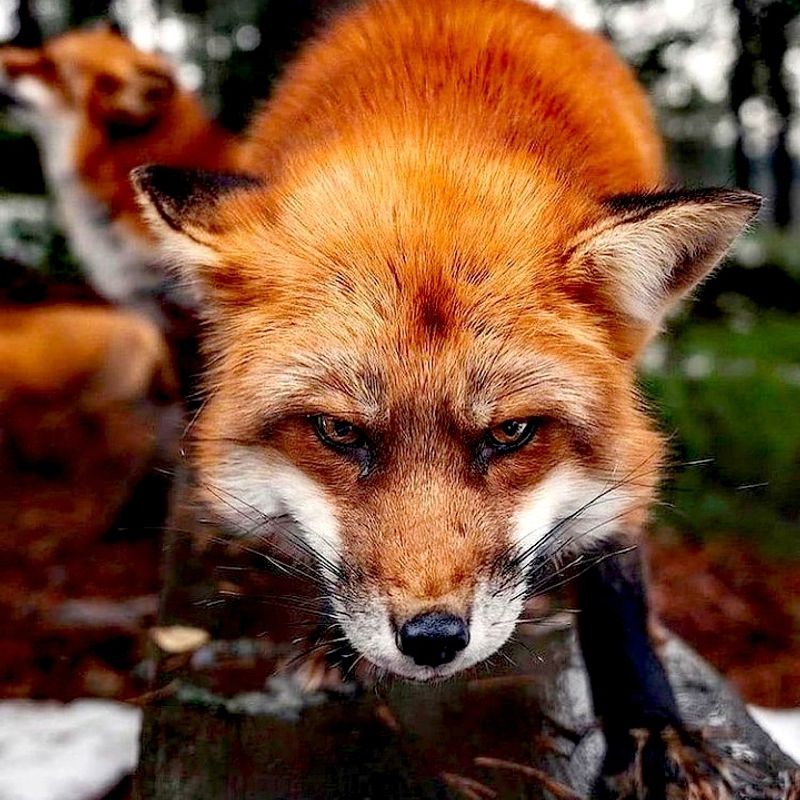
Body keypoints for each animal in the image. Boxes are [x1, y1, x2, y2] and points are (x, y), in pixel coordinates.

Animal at [134, 1, 760, 792]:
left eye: (512, 432)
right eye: (338, 432)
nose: (432, 638)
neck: (437, 118)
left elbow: (616, 571)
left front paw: (651, 727)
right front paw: (336, 643)